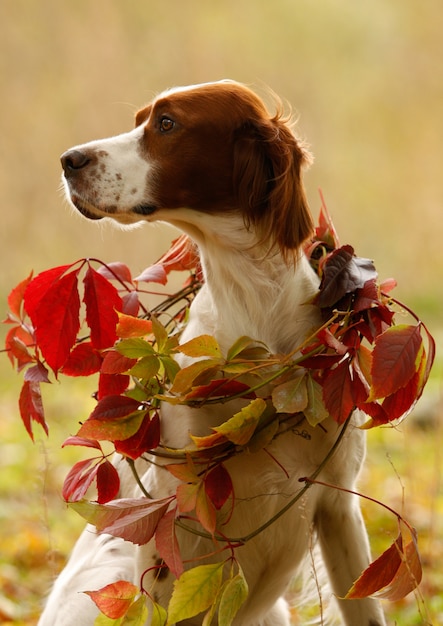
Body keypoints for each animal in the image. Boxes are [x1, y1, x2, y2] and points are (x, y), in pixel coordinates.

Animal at [41, 81, 388, 624]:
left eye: (166, 124)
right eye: (141, 119)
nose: (67, 160)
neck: (254, 304)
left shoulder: (339, 506)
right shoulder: (175, 515)